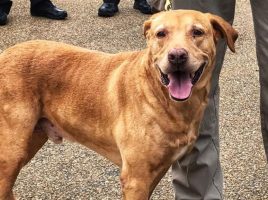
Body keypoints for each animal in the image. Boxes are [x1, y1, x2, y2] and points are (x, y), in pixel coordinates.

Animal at [0, 9, 237, 200]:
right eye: (161, 34)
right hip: (11, 152)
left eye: (197, 32)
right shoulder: (135, 179)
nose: (177, 56)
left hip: (30, 140)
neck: (162, 98)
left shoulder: (154, 173)